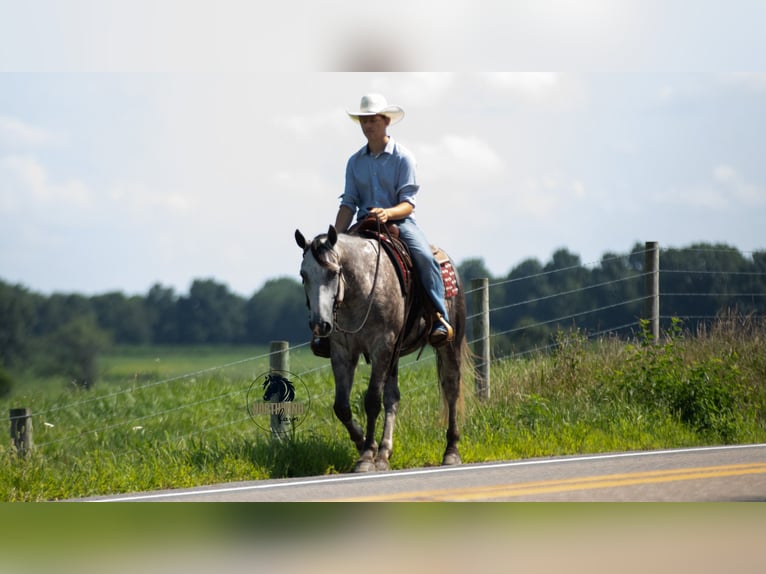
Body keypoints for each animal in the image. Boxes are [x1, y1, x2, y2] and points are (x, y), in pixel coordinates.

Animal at [295, 224, 469, 472]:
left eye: (333, 272)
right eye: (303, 275)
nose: (320, 324)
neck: (362, 288)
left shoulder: (382, 347)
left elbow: (371, 401)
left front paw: (367, 455)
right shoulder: (342, 351)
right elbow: (341, 406)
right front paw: (363, 444)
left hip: (449, 344)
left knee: (451, 388)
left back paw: (451, 451)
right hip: (394, 355)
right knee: (392, 397)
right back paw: (385, 454)